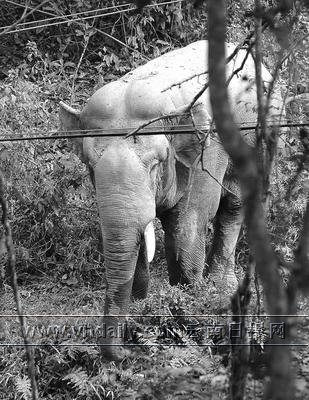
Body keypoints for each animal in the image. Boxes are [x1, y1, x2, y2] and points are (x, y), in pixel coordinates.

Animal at [59, 39, 284, 360]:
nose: (123, 353)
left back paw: (220, 286)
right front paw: (143, 308)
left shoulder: (207, 148)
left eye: (155, 164)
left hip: (268, 128)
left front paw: (190, 310)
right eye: (89, 166)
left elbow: (187, 227)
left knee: (235, 203)